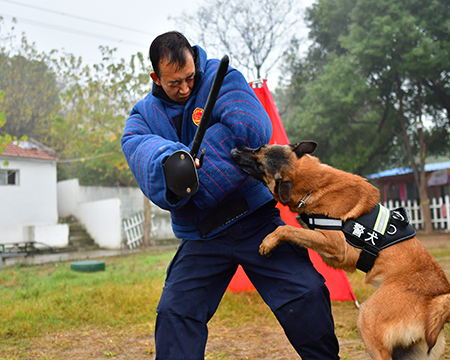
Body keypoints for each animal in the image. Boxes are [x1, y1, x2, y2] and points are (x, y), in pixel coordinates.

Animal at [230, 141, 450, 360]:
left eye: (260, 162)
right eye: (260, 147)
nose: (233, 150)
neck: (314, 185)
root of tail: (438, 299)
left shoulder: (336, 248)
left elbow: (288, 229)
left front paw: (269, 241)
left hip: (368, 319)